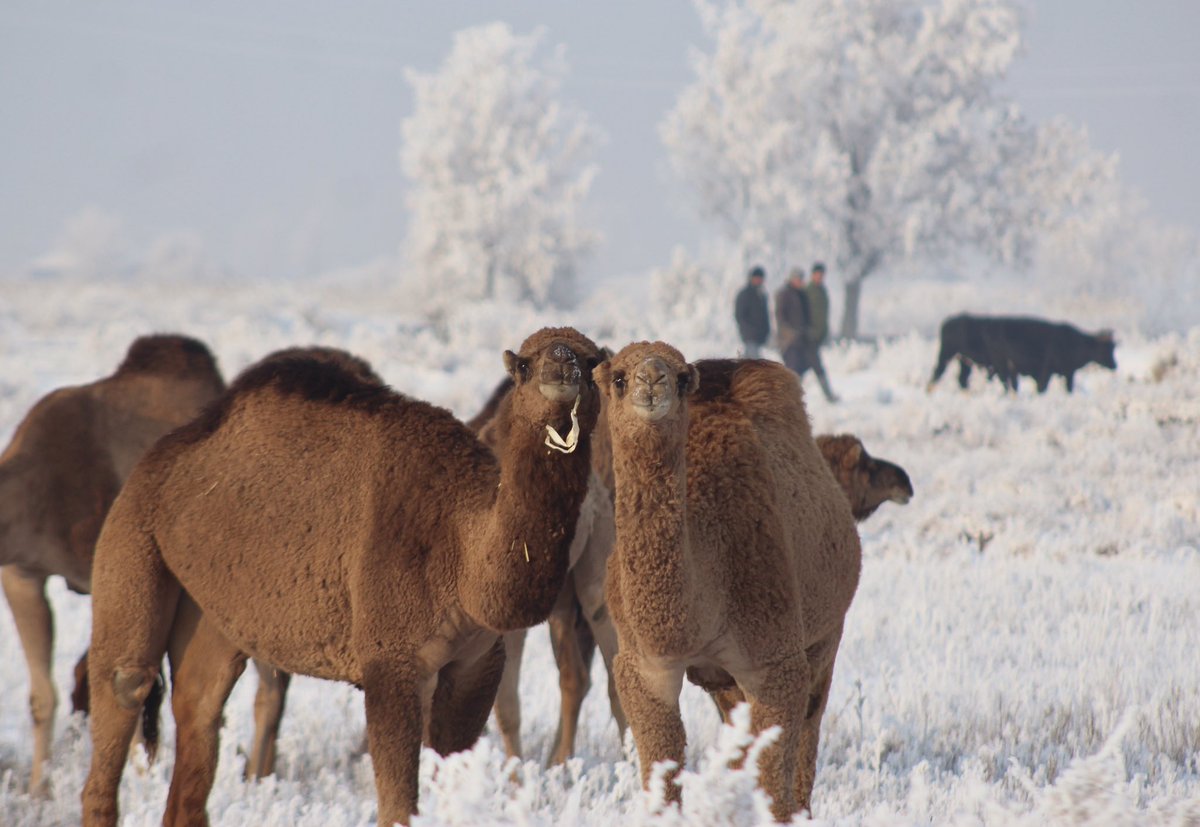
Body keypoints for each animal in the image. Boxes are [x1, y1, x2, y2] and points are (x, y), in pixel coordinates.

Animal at [81, 327, 604, 827]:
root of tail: (162, 456)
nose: (563, 365)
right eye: (524, 366)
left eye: (594, 360)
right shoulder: (390, 662)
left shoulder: (475, 665)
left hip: (213, 611)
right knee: (126, 684)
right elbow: (398, 807)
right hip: (134, 537)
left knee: (199, 711)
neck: (463, 551)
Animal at [596, 349, 861, 821]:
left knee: (809, 732)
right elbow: (663, 778)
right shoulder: (644, 666)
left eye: (682, 378)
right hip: (724, 682)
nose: (652, 380)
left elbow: (776, 787)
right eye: (619, 378)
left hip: (826, 634)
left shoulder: (776, 663)